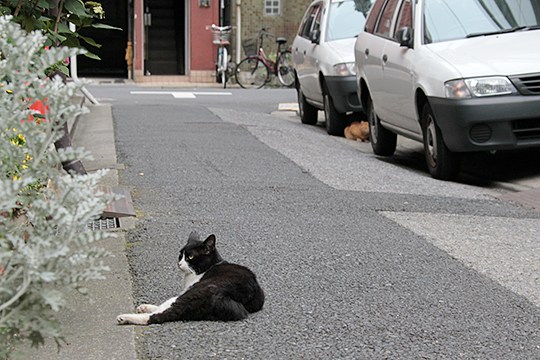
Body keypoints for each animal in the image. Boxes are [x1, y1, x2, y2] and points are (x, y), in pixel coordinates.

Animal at [117, 232, 264, 324]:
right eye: (180, 255)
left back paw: (124, 317)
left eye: (190, 257)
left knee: (160, 314)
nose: (179, 263)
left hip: (194, 291)